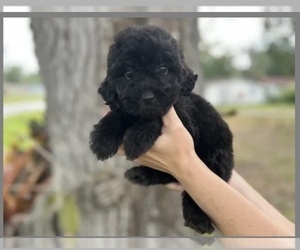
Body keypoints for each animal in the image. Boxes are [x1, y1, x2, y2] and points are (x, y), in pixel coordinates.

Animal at [89, 25, 234, 236]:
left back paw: (197, 219)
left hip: (215, 159)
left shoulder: (185, 122)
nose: (148, 97)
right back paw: (140, 175)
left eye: (163, 69)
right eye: (128, 74)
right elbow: (119, 113)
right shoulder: (125, 104)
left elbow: (156, 115)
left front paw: (136, 138)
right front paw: (102, 138)